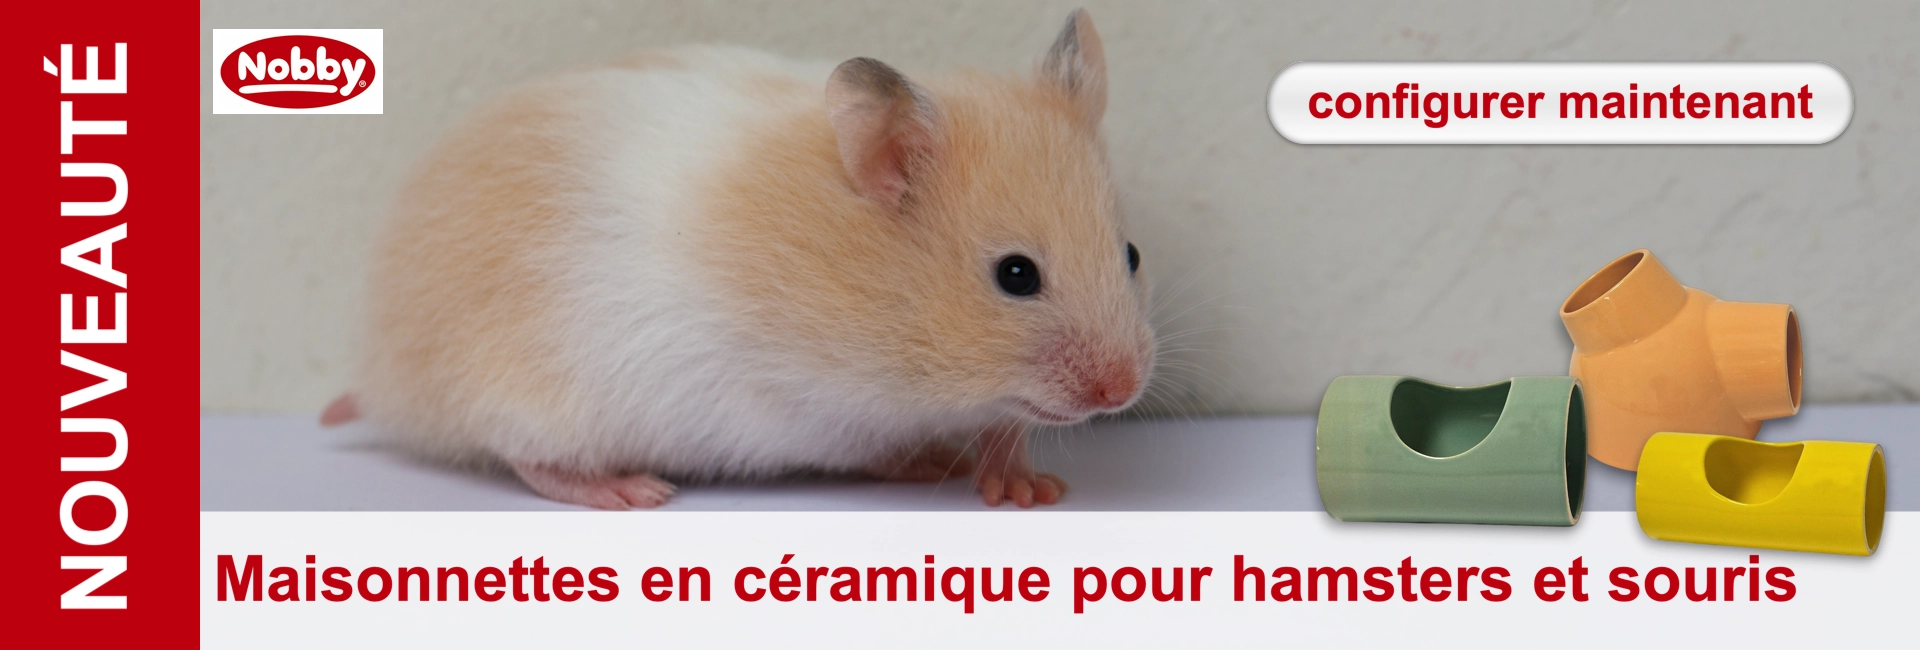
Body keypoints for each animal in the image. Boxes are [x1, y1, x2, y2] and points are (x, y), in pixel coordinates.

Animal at [328, 9, 1155, 509]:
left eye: (1132, 253)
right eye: (1015, 275)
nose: (1122, 392)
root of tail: (384, 377)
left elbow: (997, 425)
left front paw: (1031, 487)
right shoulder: (815, 402)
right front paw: (996, 475)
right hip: (535, 400)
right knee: (526, 457)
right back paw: (631, 492)